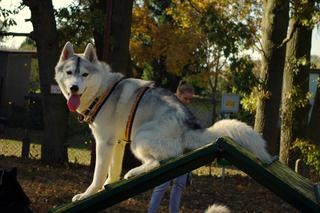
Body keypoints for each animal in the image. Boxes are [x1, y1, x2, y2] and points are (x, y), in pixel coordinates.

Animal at [55, 42, 272, 202]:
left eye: (84, 74)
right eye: (69, 73)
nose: (74, 88)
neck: (101, 91)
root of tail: (189, 125)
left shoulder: (104, 143)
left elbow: (98, 175)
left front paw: (88, 194)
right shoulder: (117, 144)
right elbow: (112, 171)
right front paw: (107, 187)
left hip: (139, 138)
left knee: (160, 160)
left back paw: (133, 172)